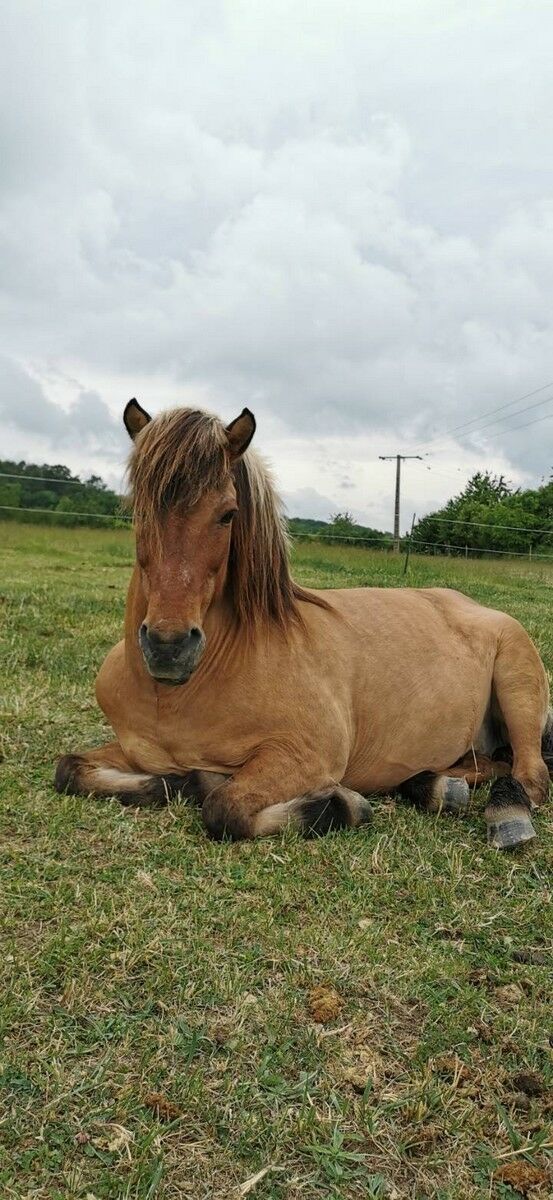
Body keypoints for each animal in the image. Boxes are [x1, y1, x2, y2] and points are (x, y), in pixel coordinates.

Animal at [53, 398, 549, 849]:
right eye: (138, 509)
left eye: (227, 514)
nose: (168, 648)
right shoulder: (136, 751)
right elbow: (70, 768)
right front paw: (189, 782)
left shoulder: (304, 757)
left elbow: (224, 809)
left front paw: (341, 806)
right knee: (484, 766)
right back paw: (434, 786)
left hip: (517, 688)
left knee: (530, 777)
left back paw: (505, 815)